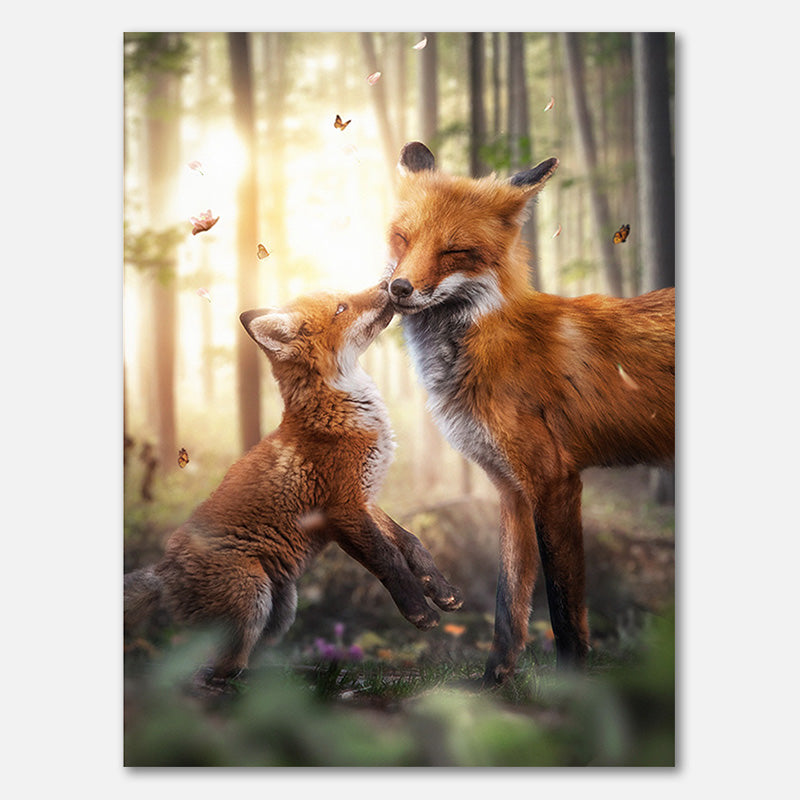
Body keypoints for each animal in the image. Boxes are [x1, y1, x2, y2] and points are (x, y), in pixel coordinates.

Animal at [124, 282, 462, 685]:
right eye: (342, 307)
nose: (388, 284)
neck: (341, 414)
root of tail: (164, 570)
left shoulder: (364, 498)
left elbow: (411, 542)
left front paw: (440, 589)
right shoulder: (342, 510)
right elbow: (388, 557)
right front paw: (419, 612)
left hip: (282, 608)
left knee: (243, 664)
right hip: (253, 596)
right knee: (216, 672)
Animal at [385, 141, 674, 686]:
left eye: (453, 251)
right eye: (402, 238)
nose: (398, 288)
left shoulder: (554, 481)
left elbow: (563, 610)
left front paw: (573, 687)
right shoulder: (510, 489)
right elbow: (509, 601)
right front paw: (493, 681)